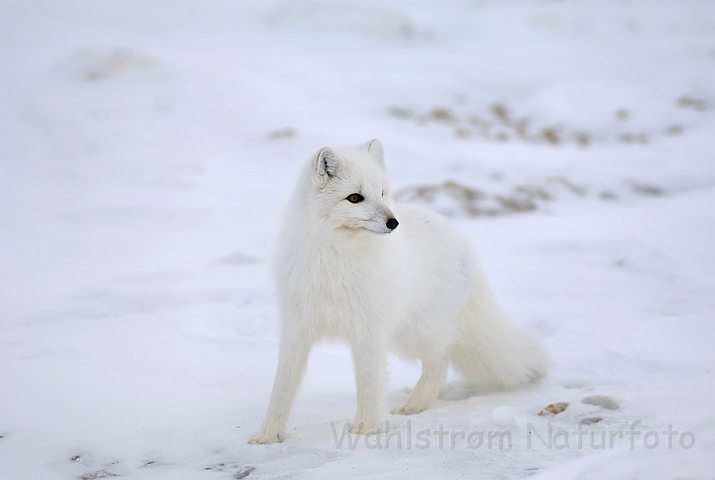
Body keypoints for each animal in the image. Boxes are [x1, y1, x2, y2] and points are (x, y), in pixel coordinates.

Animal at [249, 141, 552, 444]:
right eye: (355, 198)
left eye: (383, 193)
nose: (393, 223)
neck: (337, 260)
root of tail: (461, 240)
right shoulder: (297, 328)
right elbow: (282, 389)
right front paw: (268, 435)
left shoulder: (369, 332)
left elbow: (369, 385)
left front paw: (365, 430)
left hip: (415, 333)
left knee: (440, 361)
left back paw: (414, 405)